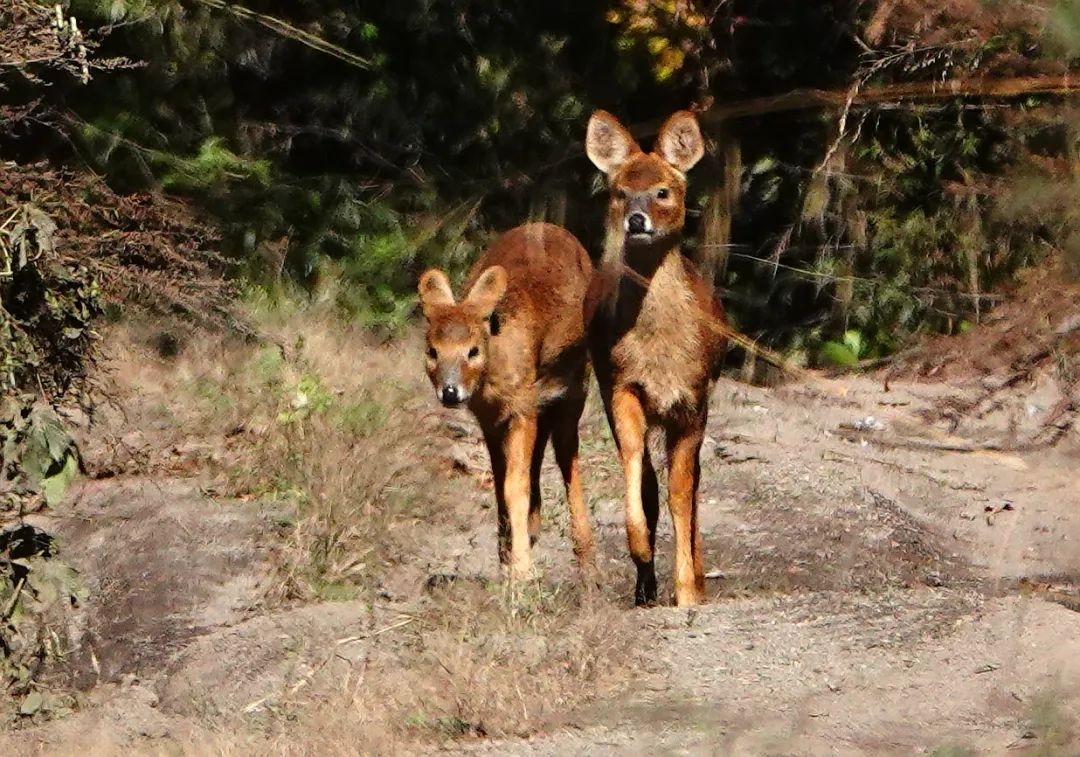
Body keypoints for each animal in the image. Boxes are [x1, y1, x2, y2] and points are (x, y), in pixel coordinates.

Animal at [414, 221, 600, 583]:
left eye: (472, 350)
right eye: (432, 351)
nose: (450, 392)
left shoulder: (522, 405)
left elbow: (516, 485)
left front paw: (522, 571)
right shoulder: (490, 417)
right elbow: (501, 484)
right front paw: (505, 560)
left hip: (576, 385)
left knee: (566, 454)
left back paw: (587, 564)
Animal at [583, 109, 725, 604]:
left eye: (663, 190)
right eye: (620, 191)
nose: (637, 220)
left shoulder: (694, 398)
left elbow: (682, 492)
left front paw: (687, 590)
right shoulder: (622, 384)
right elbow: (638, 474)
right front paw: (642, 551)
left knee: (693, 486)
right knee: (647, 476)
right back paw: (645, 584)